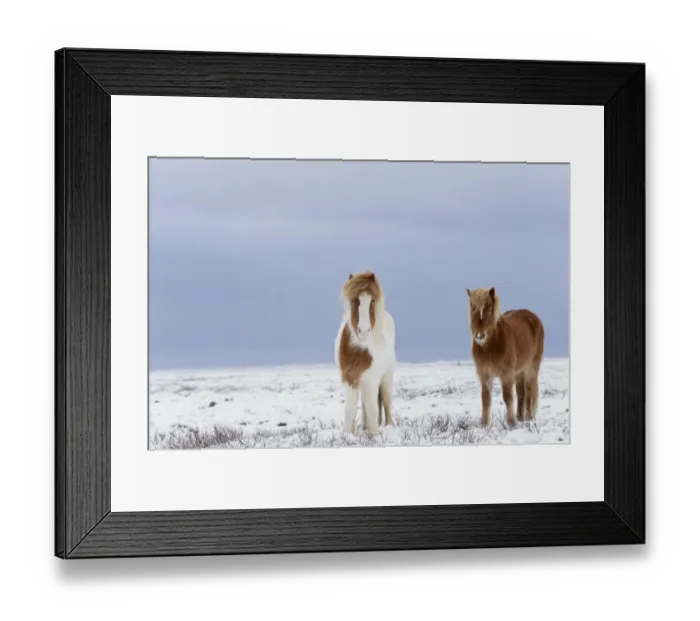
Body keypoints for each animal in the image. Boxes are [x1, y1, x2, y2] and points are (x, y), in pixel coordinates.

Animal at [334, 271, 396, 437]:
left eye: (372, 300)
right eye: (353, 301)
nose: (363, 331)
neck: (360, 350)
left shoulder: (372, 379)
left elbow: (374, 408)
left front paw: (374, 434)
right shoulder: (350, 378)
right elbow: (350, 410)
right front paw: (349, 435)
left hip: (386, 376)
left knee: (386, 401)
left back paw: (389, 426)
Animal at [465, 287, 545, 427]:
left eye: (489, 308)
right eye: (473, 307)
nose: (480, 336)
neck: (490, 347)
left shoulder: (506, 374)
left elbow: (507, 397)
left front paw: (511, 423)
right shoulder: (484, 374)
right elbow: (485, 398)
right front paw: (485, 424)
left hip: (532, 367)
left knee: (529, 389)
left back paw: (528, 418)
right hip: (519, 371)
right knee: (521, 393)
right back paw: (520, 418)